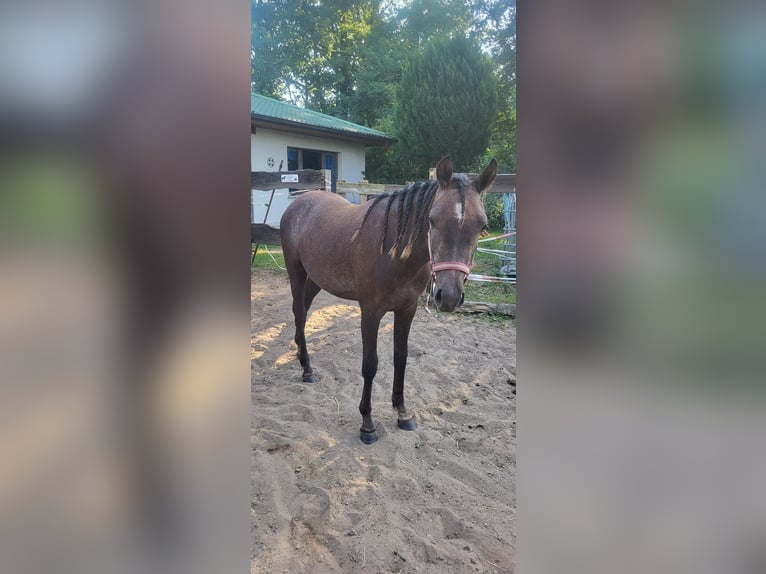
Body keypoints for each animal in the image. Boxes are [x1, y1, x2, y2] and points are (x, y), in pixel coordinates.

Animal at [280, 154, 498, 446]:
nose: (449, 295)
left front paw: (403, 413)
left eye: (482, 226)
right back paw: (307, 369)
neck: (395, 250)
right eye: (432, 220)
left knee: (302, 312)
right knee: (299, 314)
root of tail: (299, 202)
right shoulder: (370, 312)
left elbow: (401, 358)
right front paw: (367, 424)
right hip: (296, 272)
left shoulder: (407, 310)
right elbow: (370, 365)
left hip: (316, 278)